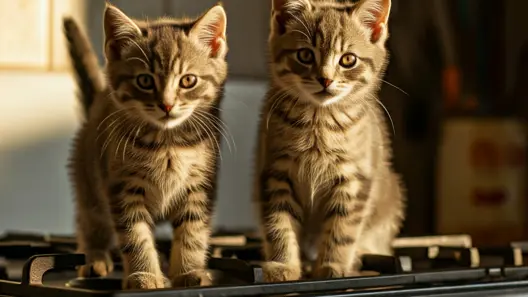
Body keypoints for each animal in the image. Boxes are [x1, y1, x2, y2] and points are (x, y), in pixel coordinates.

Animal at [63, 2, 228, 288]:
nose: (167, 104)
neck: (168, 143)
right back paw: (95, 257)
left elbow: (193, 231)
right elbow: (135, 235)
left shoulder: (200, 185)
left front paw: (188, 272)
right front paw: (145, 275)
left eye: (188, 80)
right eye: (145, 81)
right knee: (90, 222)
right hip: (89, 182)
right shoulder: (122, 186)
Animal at [254, 0, 406, 280]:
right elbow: (279, 225)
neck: (319, 121)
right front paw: (284, 265)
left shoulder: (354, 180)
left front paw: (332, 266)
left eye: (348, 59)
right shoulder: (274, 173)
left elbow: (342, 229)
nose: (325, 79)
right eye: (305, 55)